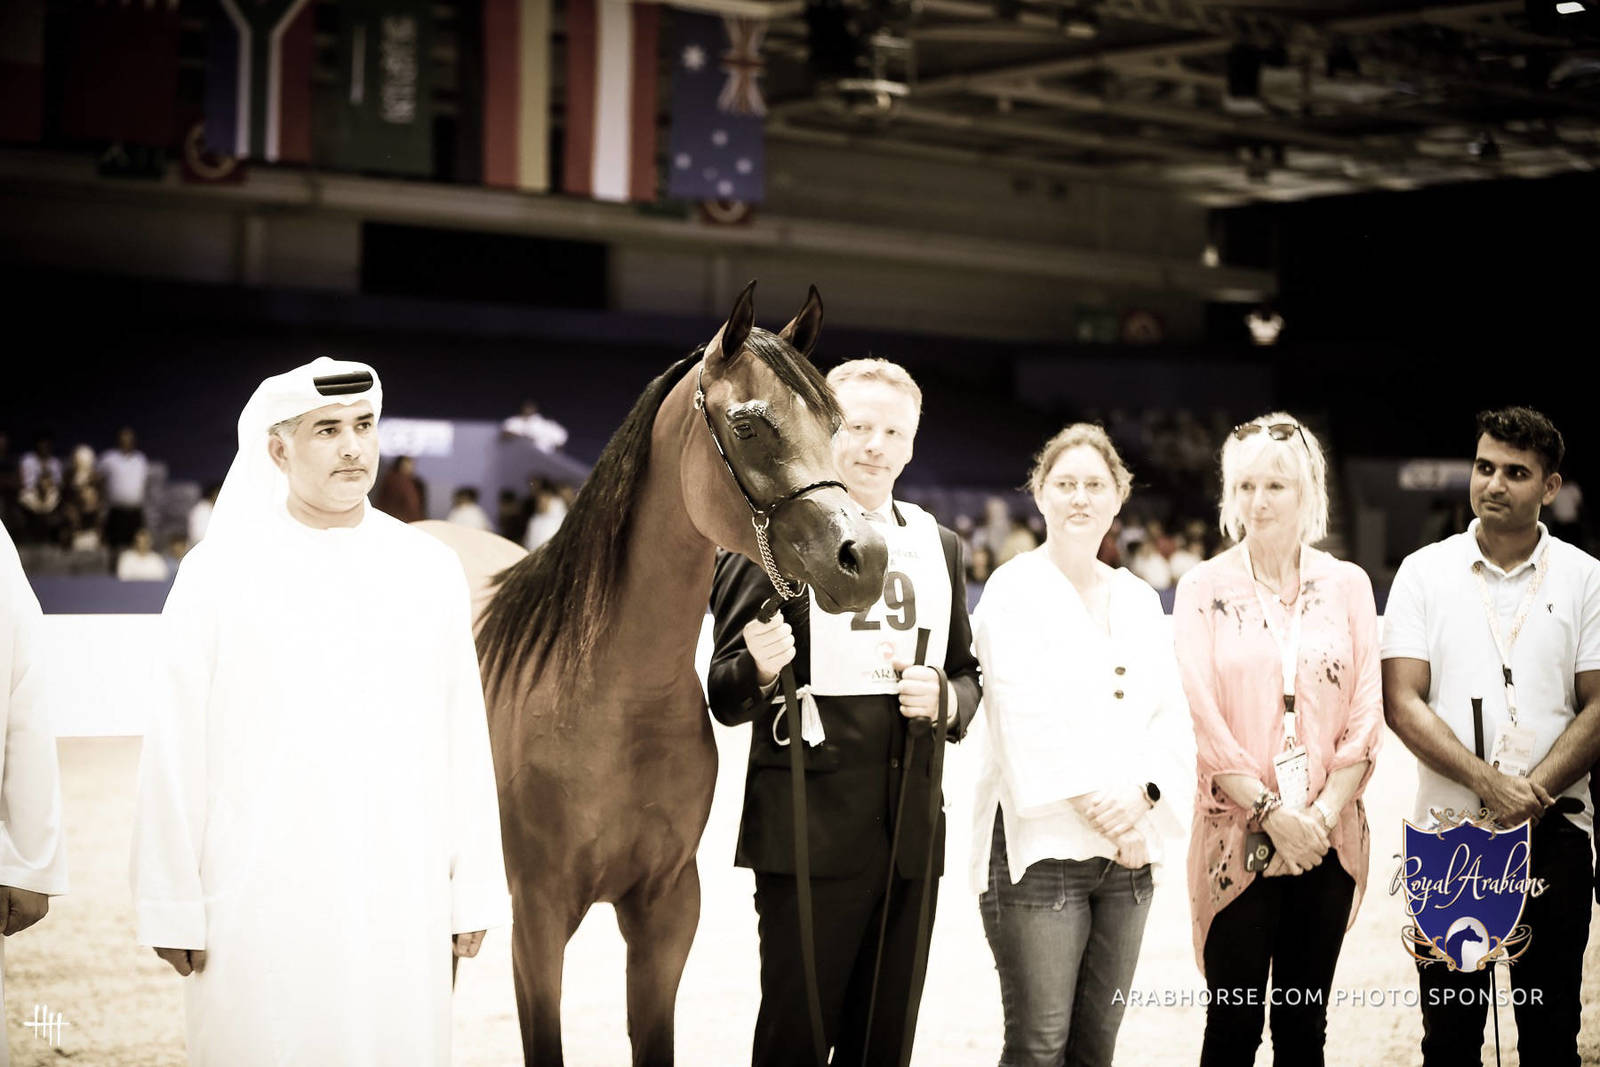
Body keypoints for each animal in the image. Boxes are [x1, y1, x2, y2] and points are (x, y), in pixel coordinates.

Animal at [422, 282, 889, 1065]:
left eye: (836, 424)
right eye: (749, 424)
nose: (866, 558)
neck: (609, 696)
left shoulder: (667, 909)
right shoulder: (539, 918)